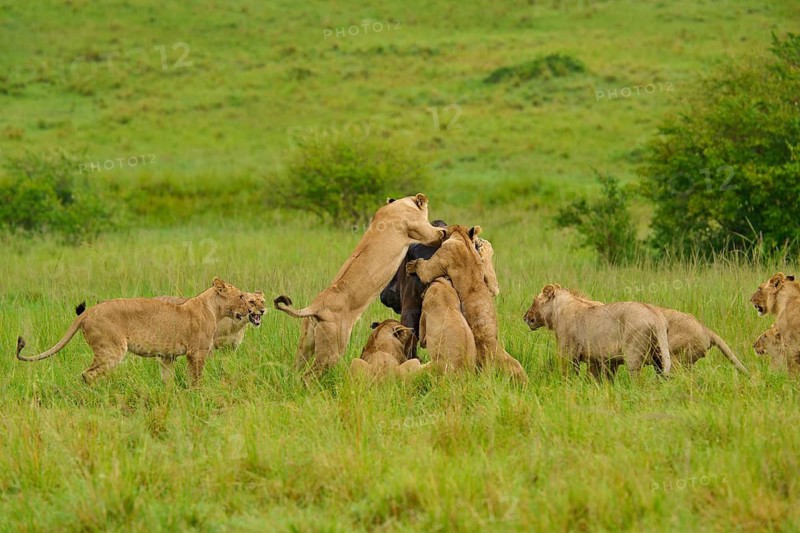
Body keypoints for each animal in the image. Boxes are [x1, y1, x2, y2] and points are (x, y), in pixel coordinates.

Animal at [16, 278, 249, 385]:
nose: (249, 311)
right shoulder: (197, 352)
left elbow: (168, 378)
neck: (214, 309)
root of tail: (87, 311)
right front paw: (196, 393)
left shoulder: (168, 356)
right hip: (112, 349)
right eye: (241, 296)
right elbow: (196, 377)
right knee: (88, 373)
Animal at [274, 194, 445, 379]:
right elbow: (440, 234)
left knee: (295, 369)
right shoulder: (426, 232)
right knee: (309, 375)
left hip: (305, 345)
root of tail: (315, 306)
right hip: (333, 350)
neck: (398, 206)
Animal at [406, 225, 527, 384]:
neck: (461, 238)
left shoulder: (442, 256)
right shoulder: (491, 284)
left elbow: (424, 268)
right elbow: (492, 279)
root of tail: (493, 347)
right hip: (514, 365)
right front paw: (484, 247)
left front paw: (411, 266)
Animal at [524, 284, 672, 376]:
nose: (525, 317)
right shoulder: (597, 359)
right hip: (659, 359)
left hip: (633, 357)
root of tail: (656, 316)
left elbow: (568, 376)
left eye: (534, 300)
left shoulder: (568, 354)